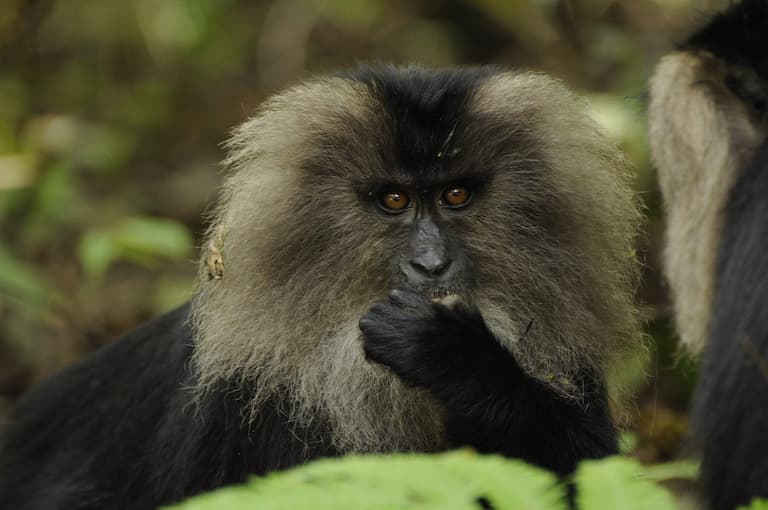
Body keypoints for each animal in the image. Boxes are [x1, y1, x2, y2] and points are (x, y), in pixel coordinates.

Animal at [0, 64, 640, 510]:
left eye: (455, 195)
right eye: (394, 200)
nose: (431, 265)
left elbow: (595, 473)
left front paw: (452, 355)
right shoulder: (236, 400)